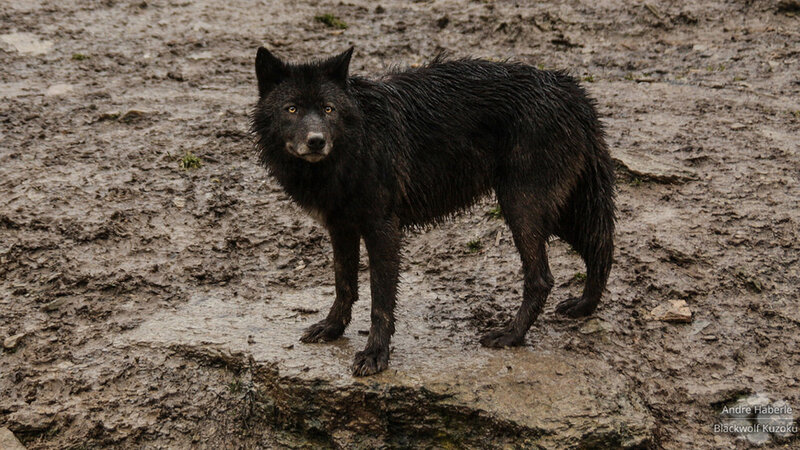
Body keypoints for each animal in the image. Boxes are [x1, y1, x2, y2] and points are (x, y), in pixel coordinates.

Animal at [250, 47, 616, 376]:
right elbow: (344, 285)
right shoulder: (340, 228)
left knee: (543, 277)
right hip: (558, 211)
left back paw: (511, 335)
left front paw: (375, 355)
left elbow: (380, 302)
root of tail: (571, 88)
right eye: (292, 109)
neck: (354, 144)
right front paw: (332, 328)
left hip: (523, 208)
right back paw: (583, 307)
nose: (316, 141)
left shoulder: (383, 229)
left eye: (328, 109)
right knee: (601, 249)